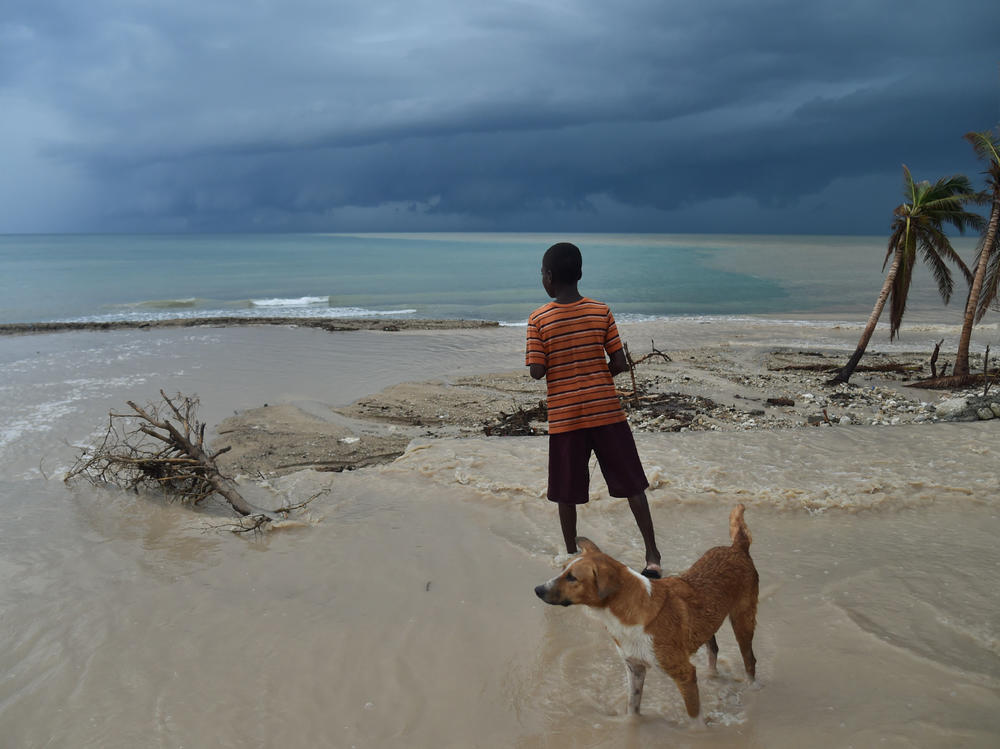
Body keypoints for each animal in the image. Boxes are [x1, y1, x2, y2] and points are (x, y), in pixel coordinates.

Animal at [536, 502, 752, 720]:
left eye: (572, 578)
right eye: (563, 569)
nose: (537, 590)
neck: (627, 612)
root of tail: (737, 547)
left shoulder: (685, 674)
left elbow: (694, 717)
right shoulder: (635, 668)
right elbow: (633, 707)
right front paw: (632, 725)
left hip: (743, 622)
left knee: (750, 660)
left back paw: (753, 687)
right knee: (713, 647)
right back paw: (712, 675)